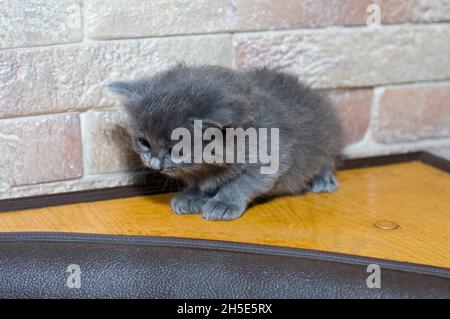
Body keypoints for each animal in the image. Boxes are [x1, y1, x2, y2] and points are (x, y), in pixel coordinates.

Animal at [109, 64, 342, 221]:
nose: (155, 164)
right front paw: (192, 196)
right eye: (144, 142)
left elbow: (241, 183)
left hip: (325, 139)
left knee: (326, 159)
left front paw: (223, 202)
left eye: (175, 149)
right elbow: (199, 183)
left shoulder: (271, 159)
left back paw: (322, 179)